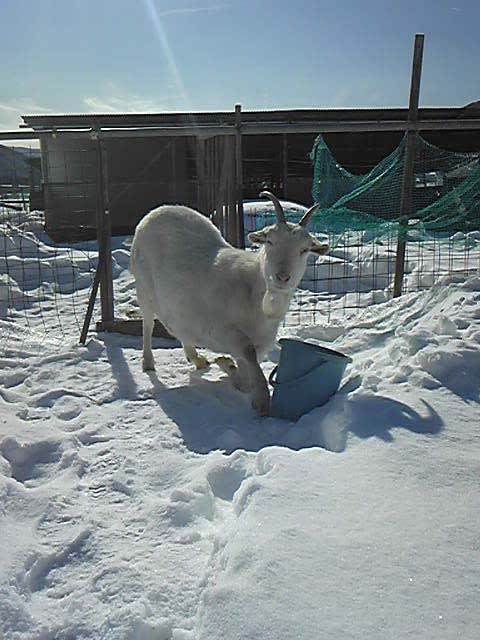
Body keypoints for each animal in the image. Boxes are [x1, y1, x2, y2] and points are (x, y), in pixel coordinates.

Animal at [129, 190, 328, 418]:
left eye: (305, 249)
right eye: (269, 241)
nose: (282, 277)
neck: (254, 291)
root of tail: (158, 210)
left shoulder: (262, 341)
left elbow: (247, 368)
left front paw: (230, 369)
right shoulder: (220, 330)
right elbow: (247, 354)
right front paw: (260, 400)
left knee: (179, 328)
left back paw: (196, 359)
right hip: (144, 288)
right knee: (148, 323)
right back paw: (148, 363)